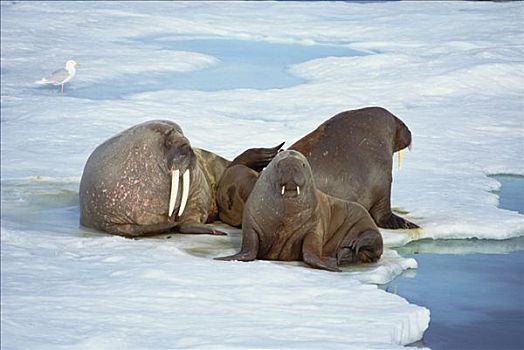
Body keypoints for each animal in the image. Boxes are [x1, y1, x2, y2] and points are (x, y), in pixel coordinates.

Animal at [79, 120, 282, 238]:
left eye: (182, 134)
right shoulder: (108, 218)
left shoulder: (197, 185)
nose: (188, 146)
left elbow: (190, 214)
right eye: (169, 141)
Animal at [215, 149, 382, 272]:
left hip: (364, 220)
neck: (286, 217)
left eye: (302, 165)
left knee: (372, 240)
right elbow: (249, 246)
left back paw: (349, 250)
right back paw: (343, 255)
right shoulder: (251, 224)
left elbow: (311, 250)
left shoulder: (314, 228)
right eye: (279, 164)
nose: (291, 166)